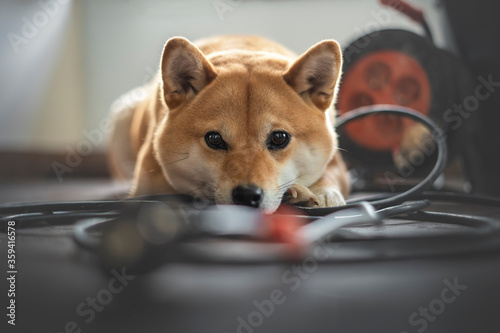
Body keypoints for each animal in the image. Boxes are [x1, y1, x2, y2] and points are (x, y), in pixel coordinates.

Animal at [108, 35, 352, 211]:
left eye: (279, 138)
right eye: (214, 139)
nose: (247, 195)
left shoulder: (336, 160)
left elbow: (330, 175)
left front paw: (321, 193)